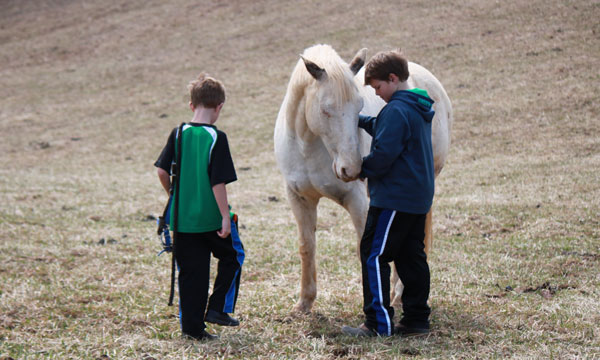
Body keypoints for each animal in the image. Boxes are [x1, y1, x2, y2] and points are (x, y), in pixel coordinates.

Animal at [274, 44, 452, 312]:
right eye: (325, 110)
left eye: (358, 107)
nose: (352, 168)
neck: (307, 147)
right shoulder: (299, 199)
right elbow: (307, 247)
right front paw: (304, 303)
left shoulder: (358, 203)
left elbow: (365, 252)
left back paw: (399, 295)